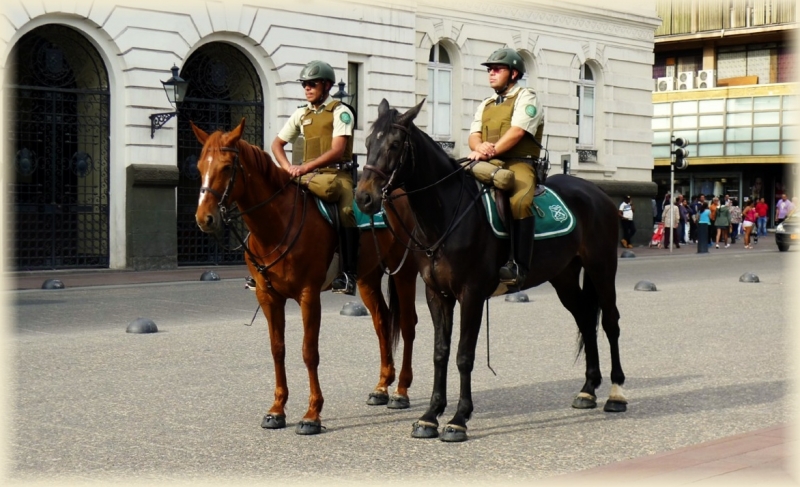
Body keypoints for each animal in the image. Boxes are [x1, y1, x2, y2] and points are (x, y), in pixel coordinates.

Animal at [193, 118, 418, 434]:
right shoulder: (268, 296)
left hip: (404, 271)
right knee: (382, 322)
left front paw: (312, 413)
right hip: (367, 277)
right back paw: (382, 387)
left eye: (226, 167)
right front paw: (277, 409)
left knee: (408, 324)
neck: (276, 224)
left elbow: (309, 352)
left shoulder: (309, 295)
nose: (205, 218)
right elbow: (278, 349)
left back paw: (401, 391)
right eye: (200, 166)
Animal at [354, 99, 624, 442]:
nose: (364, 197)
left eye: (394, 145)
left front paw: (458, 418)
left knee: (610, 323)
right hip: (563, 277)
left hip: (602, 268)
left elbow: (463, 355)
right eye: (367, 143)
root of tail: (598, 193)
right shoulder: (436, 294)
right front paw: (430, 416)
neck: (445, 214)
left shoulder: (470, 294)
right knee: (586, 319)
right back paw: (588, 389)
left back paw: (616, 393)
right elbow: (440, 352)